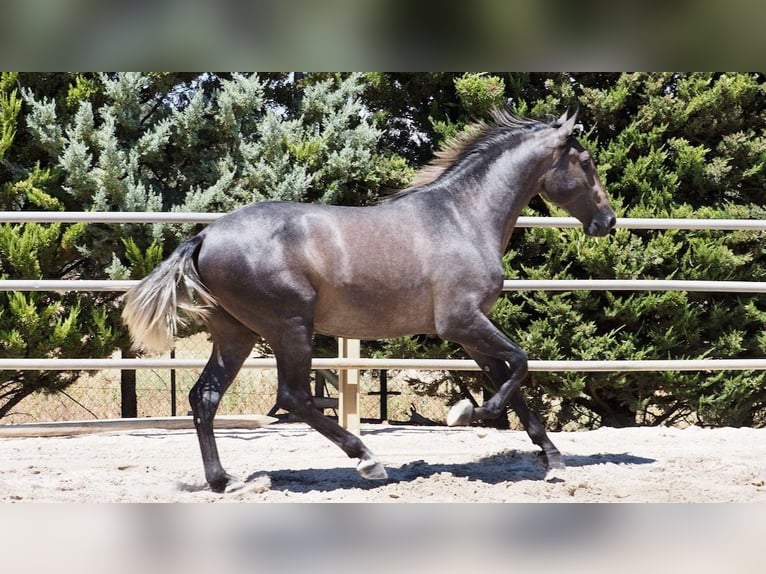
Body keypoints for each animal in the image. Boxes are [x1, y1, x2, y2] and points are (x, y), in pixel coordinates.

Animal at [124, 109, 616, 496]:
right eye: (586, 161)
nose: (607, 221)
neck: (463, 217)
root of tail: (205, 236)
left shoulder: (471, 333)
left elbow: (512, 380)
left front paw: (553, 460)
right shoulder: (462, 322)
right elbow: (521, 364)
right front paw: (467, 413)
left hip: (236, 333)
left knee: (204, 397)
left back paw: (224, 481)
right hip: (290, 327)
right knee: (293, 396)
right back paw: (367, 460)